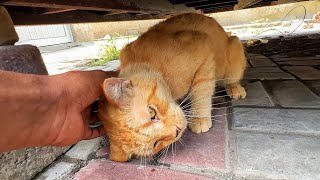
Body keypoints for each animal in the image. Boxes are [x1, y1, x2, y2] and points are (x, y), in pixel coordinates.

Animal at [99, 12, 246, 162]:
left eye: (151, 112)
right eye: (155, 143)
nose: (177, 131)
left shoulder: (203, 53)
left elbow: (201, 91)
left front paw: (199, 118)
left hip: (234, 55)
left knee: (231, 79)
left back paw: (234, 88)